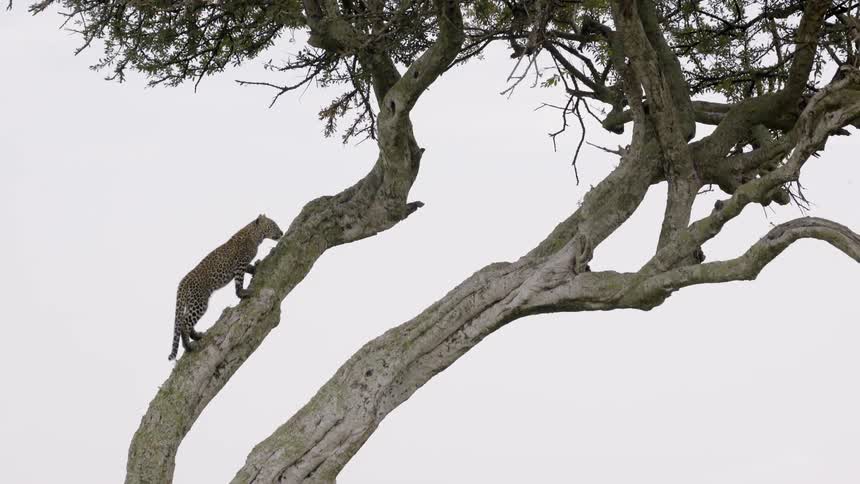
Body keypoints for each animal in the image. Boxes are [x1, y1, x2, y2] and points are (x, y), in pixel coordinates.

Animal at [168, 214, 283, 361]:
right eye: (273, 225)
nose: (281, 232)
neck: (256, 235)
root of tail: (182, 283)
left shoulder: (243, 264)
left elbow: (249, 268)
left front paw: (256, 267)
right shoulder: (240, 262)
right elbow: (239, 281)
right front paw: (243, 293)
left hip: (192, 302)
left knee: (186, 319)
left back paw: (196, 336)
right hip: (199, 301)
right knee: (184, 323)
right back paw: (188, 346)